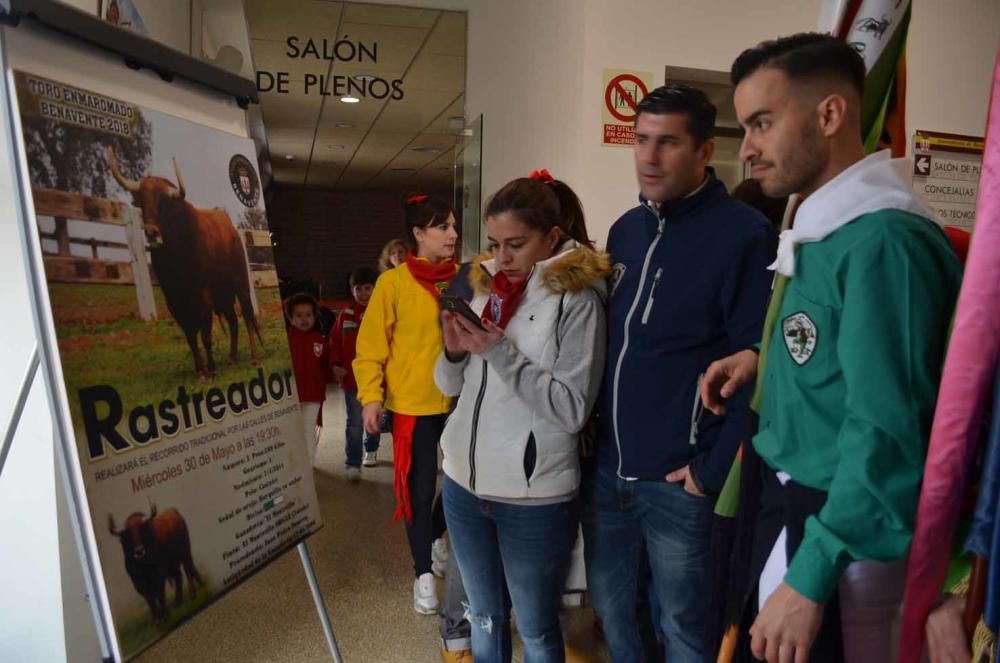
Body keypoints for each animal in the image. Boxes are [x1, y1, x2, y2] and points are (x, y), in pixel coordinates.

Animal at [108, 147, 262, 382]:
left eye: (164, 203)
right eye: (142, 201)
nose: (152, 233)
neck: (178, 258)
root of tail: (232, 230)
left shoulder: (204, 297)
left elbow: (205, 335)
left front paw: (212, 369)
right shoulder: (174, 301)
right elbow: (190, 336)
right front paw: (200, 371)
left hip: (241, 284)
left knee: (246, 315)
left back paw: (254, 357)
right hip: (223, 296)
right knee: (233, 320)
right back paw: (232, 357)